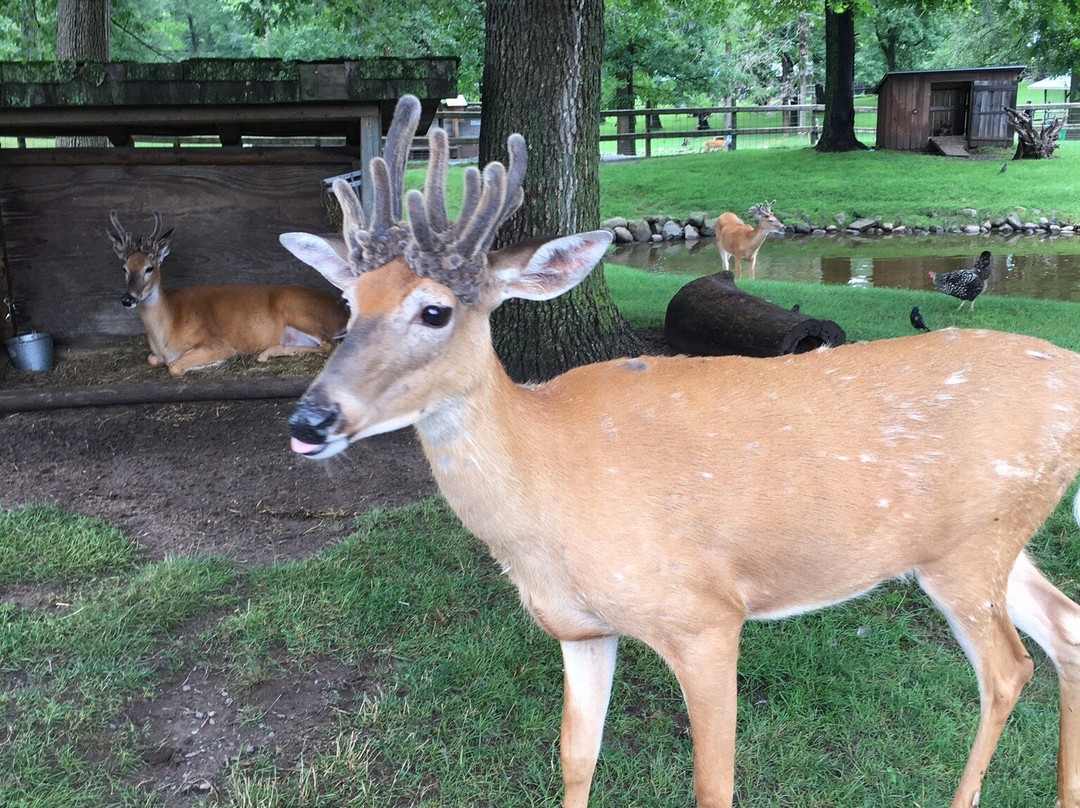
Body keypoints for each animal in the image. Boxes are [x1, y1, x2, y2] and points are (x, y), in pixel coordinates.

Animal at [108, 206, 347, 373]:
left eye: (149, 268)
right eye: (124, 268)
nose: (128, 299)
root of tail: (342, 310)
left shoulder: (216, 343)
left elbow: (174, 366)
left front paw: (213, 363)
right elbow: (153, 359)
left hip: (300, 312)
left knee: (331, 344)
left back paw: (266, 353)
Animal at [287, 94, 1080, 808]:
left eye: (435, 310)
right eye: (350, 304)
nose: (309, 419)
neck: (547, 492)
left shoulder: (704, 615)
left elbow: (713, 783)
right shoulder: (580, 629)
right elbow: (576, 756)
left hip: (969, 549)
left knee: (1008, 669)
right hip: (995, 537)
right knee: (1065, 627)